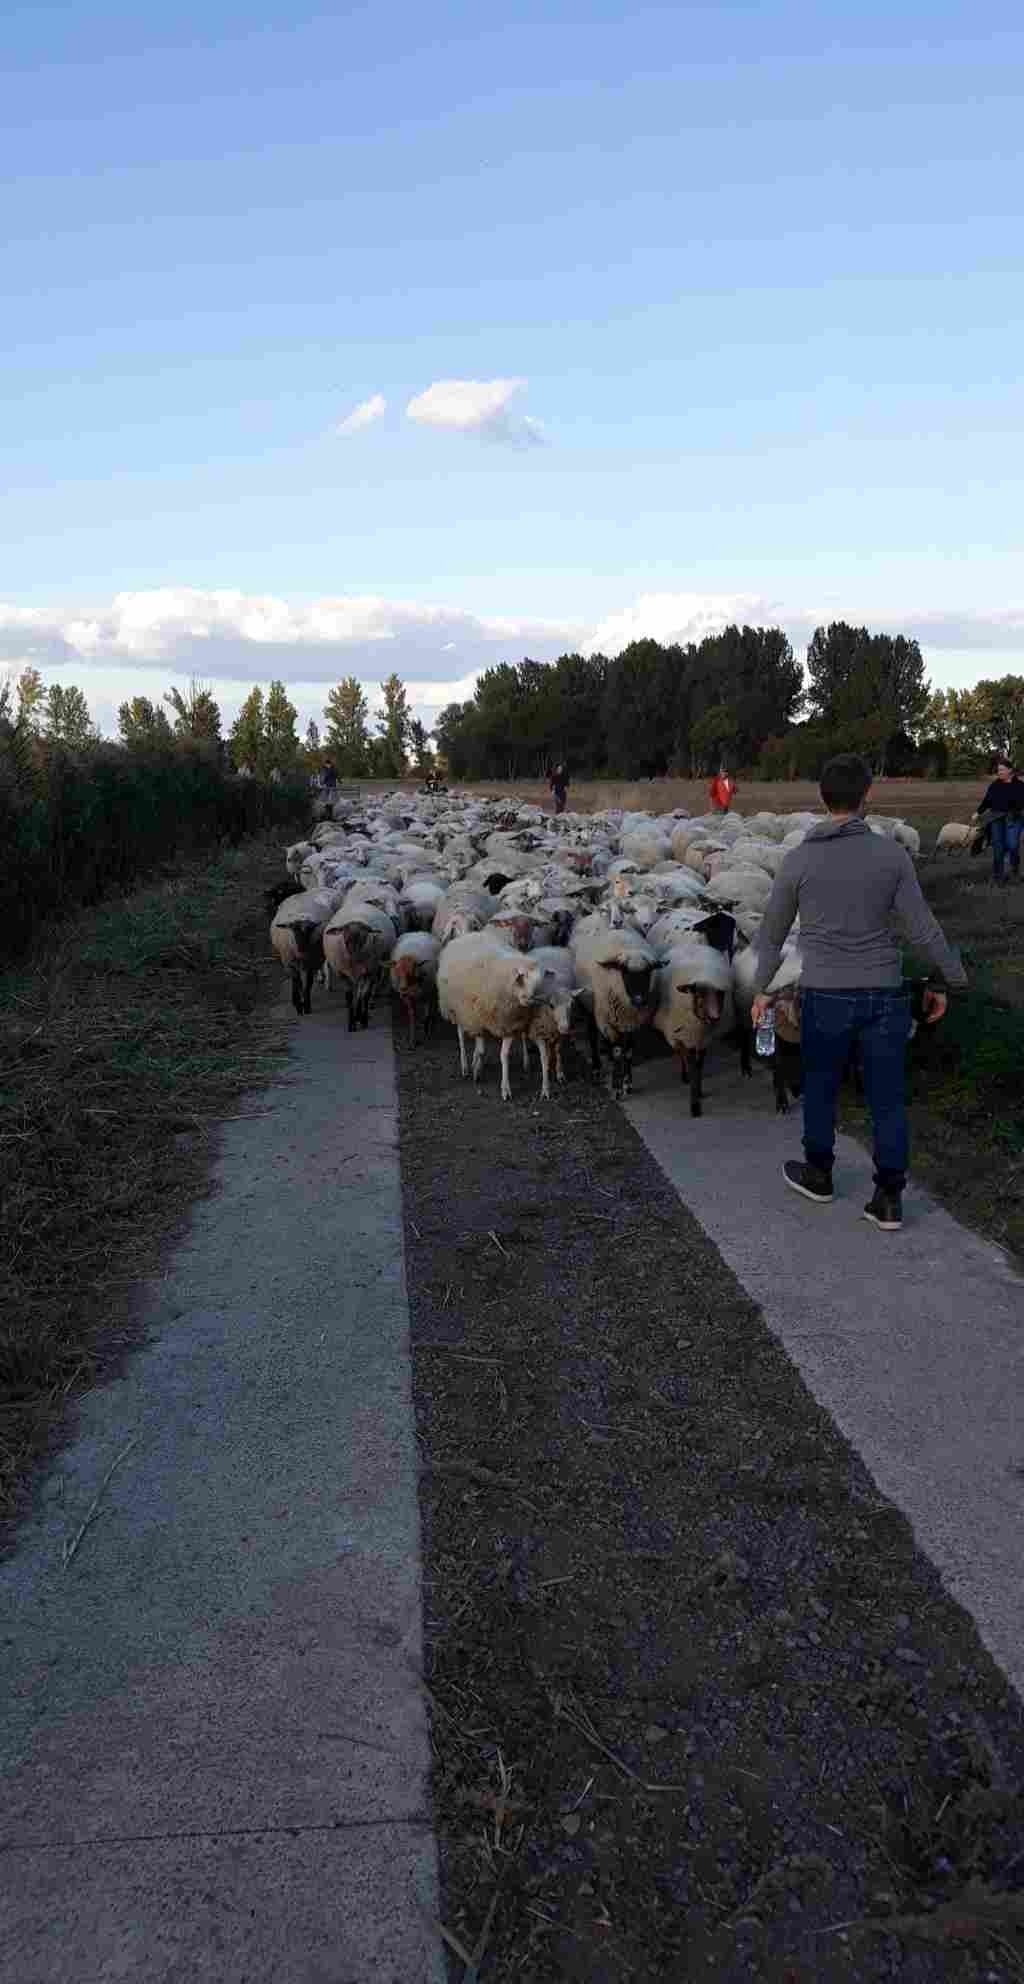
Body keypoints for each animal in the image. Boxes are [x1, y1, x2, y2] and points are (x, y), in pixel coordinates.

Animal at [436, 932, 547, 1103]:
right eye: (522, 978)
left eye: (538, 983)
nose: (530, 999)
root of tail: (469, 935)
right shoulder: (478, 1018)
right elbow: (481, 1049)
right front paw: (477, 1072)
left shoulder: (508, 1024)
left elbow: (504, 1055)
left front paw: (505, 1088)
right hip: (458, 1010)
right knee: (461, 1036)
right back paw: (465, 1066)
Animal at [567, 924, 654, 1103]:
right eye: (625, 972)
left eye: (647, 973)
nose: (639, 1000)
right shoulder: (607, 1019)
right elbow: (618, 1053)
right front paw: (616, 1088)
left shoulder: (633, 1023)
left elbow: (628, 1052)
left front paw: (627, 1083)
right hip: (592, 1006)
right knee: (593, 1035)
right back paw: (596, 1068)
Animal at [650, 932, 730, 1111]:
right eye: (699, 995)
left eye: (720, 995)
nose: (715, 1017)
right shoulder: (684, 1038)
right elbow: (691, 1064)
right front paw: (694, 1104)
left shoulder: (703, 1040)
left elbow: (699, 1066)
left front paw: (698, 1091)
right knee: (681, 1055)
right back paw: (685, 1074)